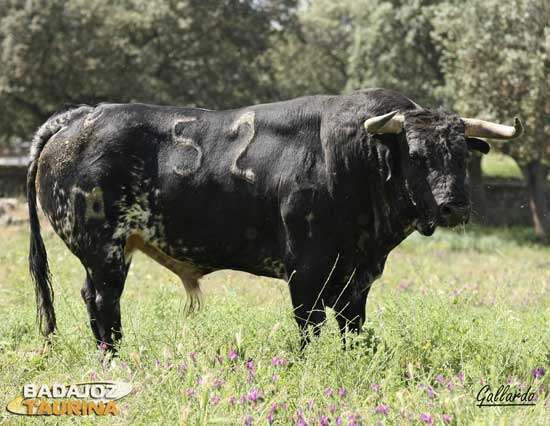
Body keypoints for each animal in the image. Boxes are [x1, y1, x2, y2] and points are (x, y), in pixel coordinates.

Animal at [27, 88, 520, 348]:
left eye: (461, 155)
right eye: (416, 156)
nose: (454, 205)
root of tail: (84, 115)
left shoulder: (356, 277)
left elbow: (353, 327)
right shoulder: (306, 272)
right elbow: (309, 328)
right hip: (104, 251)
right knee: (103, 302)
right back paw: (115, 356)